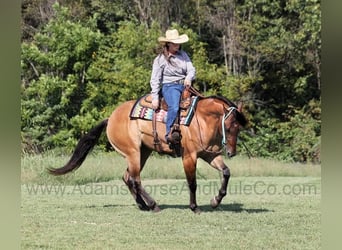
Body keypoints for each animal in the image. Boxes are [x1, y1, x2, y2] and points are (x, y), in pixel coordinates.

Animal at [48, 92, 246, 213]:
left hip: (143, 152)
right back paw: (153, 205)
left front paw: (215, 200)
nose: (231, 152)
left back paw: (143, 205)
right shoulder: (189, 156)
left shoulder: (209, 154)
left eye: (238, 128)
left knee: (127, 177)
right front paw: (194, 207)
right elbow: (192, 183)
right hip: (133, 153)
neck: (200, 120)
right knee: (135, 179)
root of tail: (110, 118)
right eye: (229, 126)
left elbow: (226, 172)